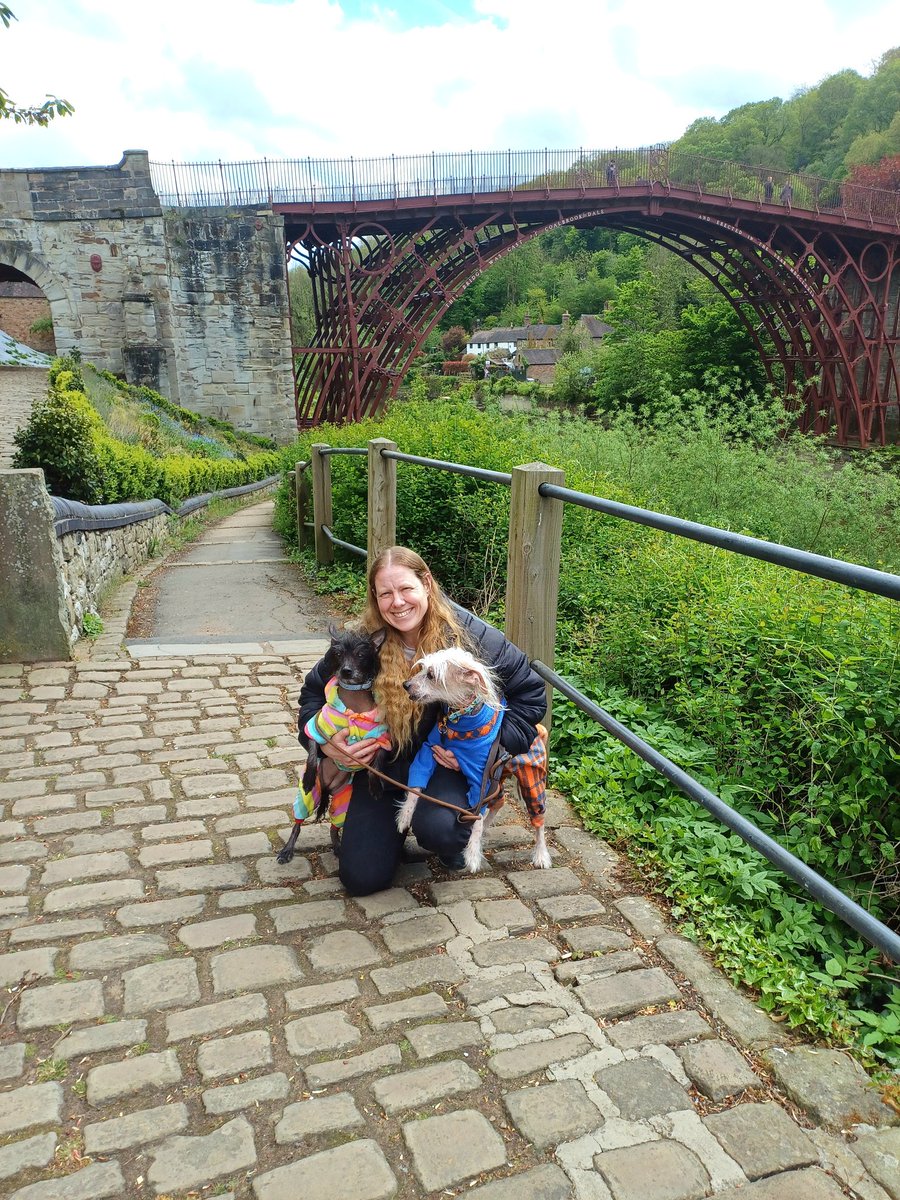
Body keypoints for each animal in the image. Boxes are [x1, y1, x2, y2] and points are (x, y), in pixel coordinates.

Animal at [398, 648, 554, 873]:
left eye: (431, 675)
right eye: (423, 669)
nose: (406, 684)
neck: (459, 719)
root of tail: (540, 729)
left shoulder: (480, 776)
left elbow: (477, 816)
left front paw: (472, 854)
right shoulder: (428, 751)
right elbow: (415, 789)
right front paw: (405, 816)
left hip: (530, 779)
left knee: (538, 820)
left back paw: (541, 854)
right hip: (498, 775)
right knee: (498, 802)